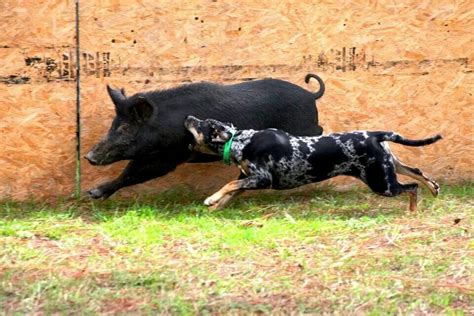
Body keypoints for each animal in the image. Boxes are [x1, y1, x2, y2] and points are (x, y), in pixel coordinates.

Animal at [84, 74, 326, 199]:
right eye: (113, 125)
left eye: (125, 128)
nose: (89, 157)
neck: (163, 124)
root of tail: (310, 95)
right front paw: (93, 192)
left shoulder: (170, 156)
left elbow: (132, 172)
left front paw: (94, 193)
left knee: (319, 131)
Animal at [184, 115, 440, 210]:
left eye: (202, 124)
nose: (188, 117)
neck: (240, 140)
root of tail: (376, 135)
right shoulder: (247, 178)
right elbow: (231, 192)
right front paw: (216, 207)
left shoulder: (261, 179)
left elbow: (227, 186)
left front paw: (210, 200)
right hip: (389, 168)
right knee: (417, 172)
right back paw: (433, 189)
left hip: (382, 183)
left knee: (412, 187)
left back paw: (412, 210)